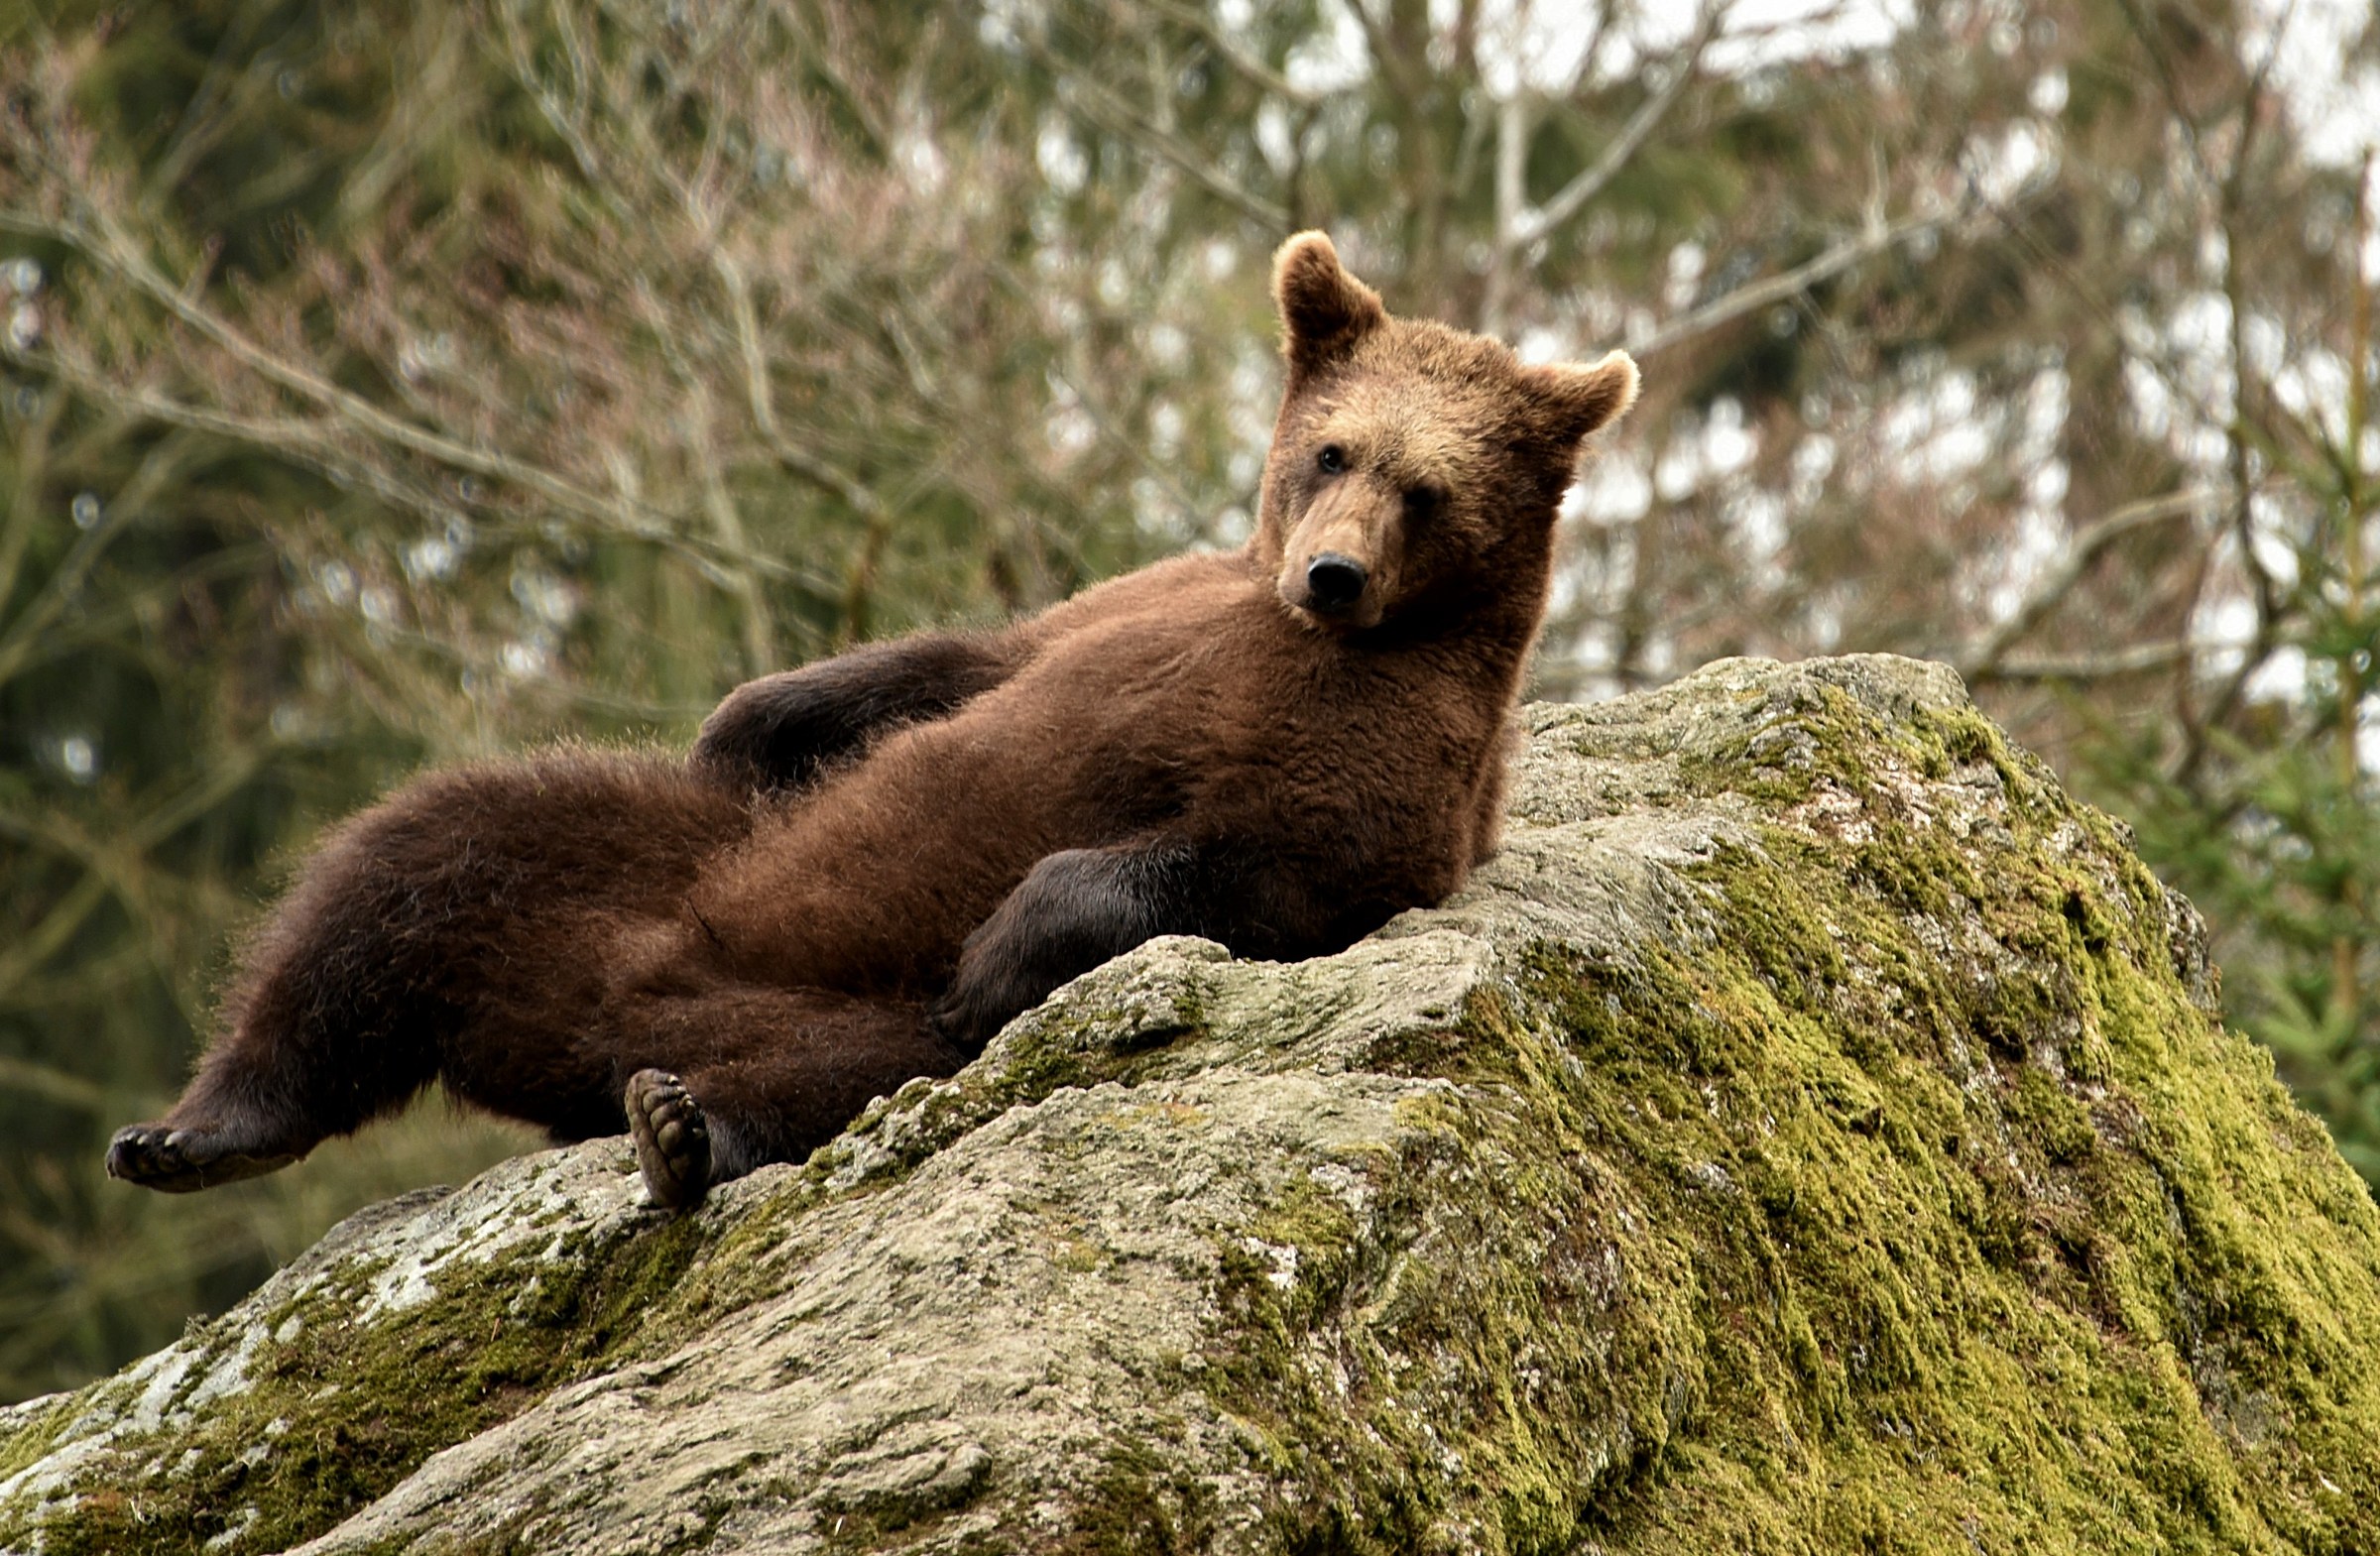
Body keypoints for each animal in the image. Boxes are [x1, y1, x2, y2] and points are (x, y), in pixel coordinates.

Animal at [104, 232, 1639, 1208]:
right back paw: (195, 1132)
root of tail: (593, 1019)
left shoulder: (1399, 749)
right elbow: (968, 661)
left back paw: (682, 1129)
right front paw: (753, 714)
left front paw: (1023, 924)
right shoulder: (1143, 602)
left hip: (848, 1006)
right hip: (646, 863)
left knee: (849, 1068)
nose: (1330, 575)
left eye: (1427, 489)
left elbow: (1284, 864)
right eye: (1331, 448)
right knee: (408, 862)